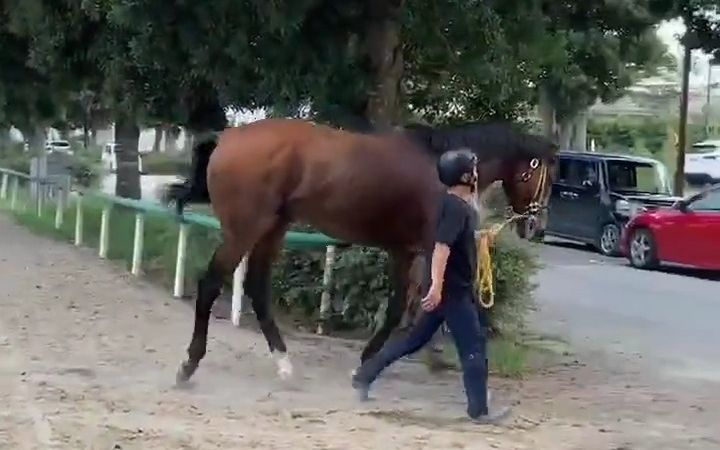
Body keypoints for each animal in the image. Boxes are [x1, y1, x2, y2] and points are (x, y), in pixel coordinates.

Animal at [169, 117, 556, 384]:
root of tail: (228, 136)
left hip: (272, 228)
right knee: (210, 284)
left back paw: (283, 362)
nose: (536, 226)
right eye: (549, 177)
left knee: (257, 289)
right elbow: (419, 306)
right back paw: (189, 363)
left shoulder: (405, 252)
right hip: (244, 229)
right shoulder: (428, 247)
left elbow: (405, 306)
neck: (439, 168)